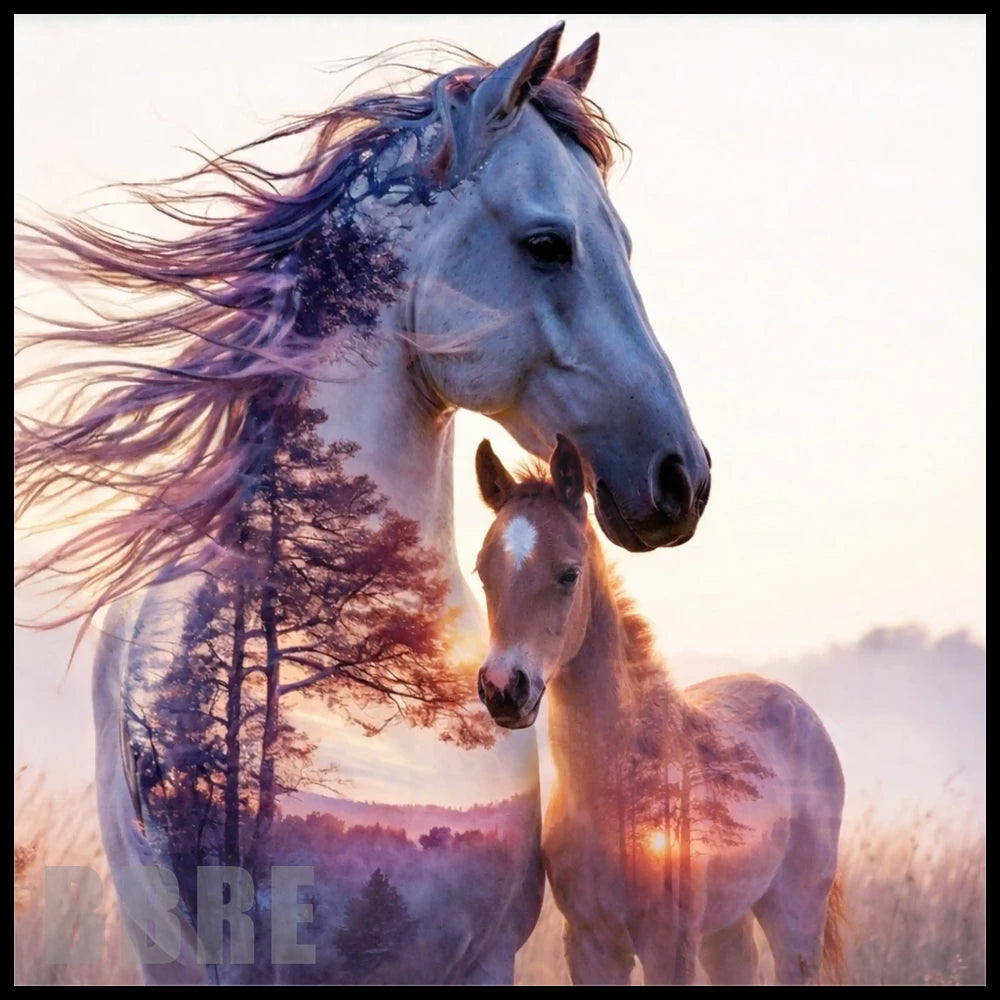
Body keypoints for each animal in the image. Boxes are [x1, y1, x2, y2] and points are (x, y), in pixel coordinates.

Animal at [473, 435, 846, 985]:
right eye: (483, 572)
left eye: (568, 574)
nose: (503, 688)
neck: (617, 780)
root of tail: (798, 706)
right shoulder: (589, 944)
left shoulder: (669, 944)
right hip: (726, 925)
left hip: (795, 913)